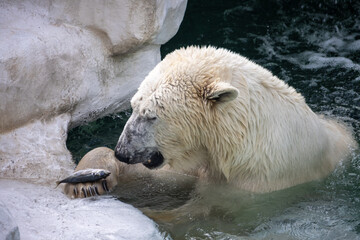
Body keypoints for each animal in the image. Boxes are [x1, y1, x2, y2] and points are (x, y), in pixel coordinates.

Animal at [62, 45, 358, 197]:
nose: (123, 152)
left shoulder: (255, 178)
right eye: (134, 107)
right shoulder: (193, 162)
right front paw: (88, 181)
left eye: (152, 115)